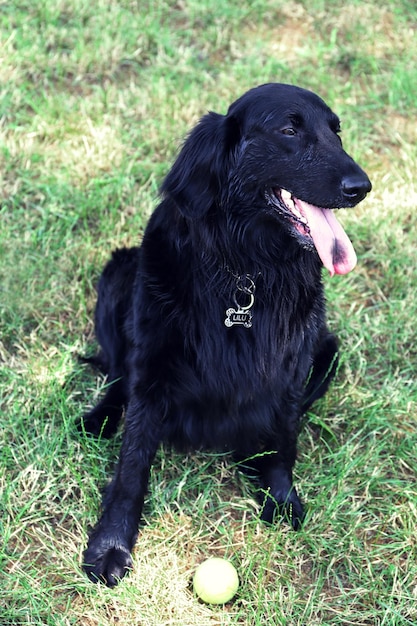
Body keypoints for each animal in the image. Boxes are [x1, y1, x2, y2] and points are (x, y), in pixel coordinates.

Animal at [79, 83, 370, 584]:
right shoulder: (151, 366)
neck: (245, 266)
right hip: (119, 273)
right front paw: (111, 544)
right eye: (289, 130)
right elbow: (132, 463)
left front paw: (279, 495)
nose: (362, 187)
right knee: (117, 377)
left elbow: (285, 439)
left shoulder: (292, 365)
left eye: (336, 131)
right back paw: (99, 417)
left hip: (329, 349)